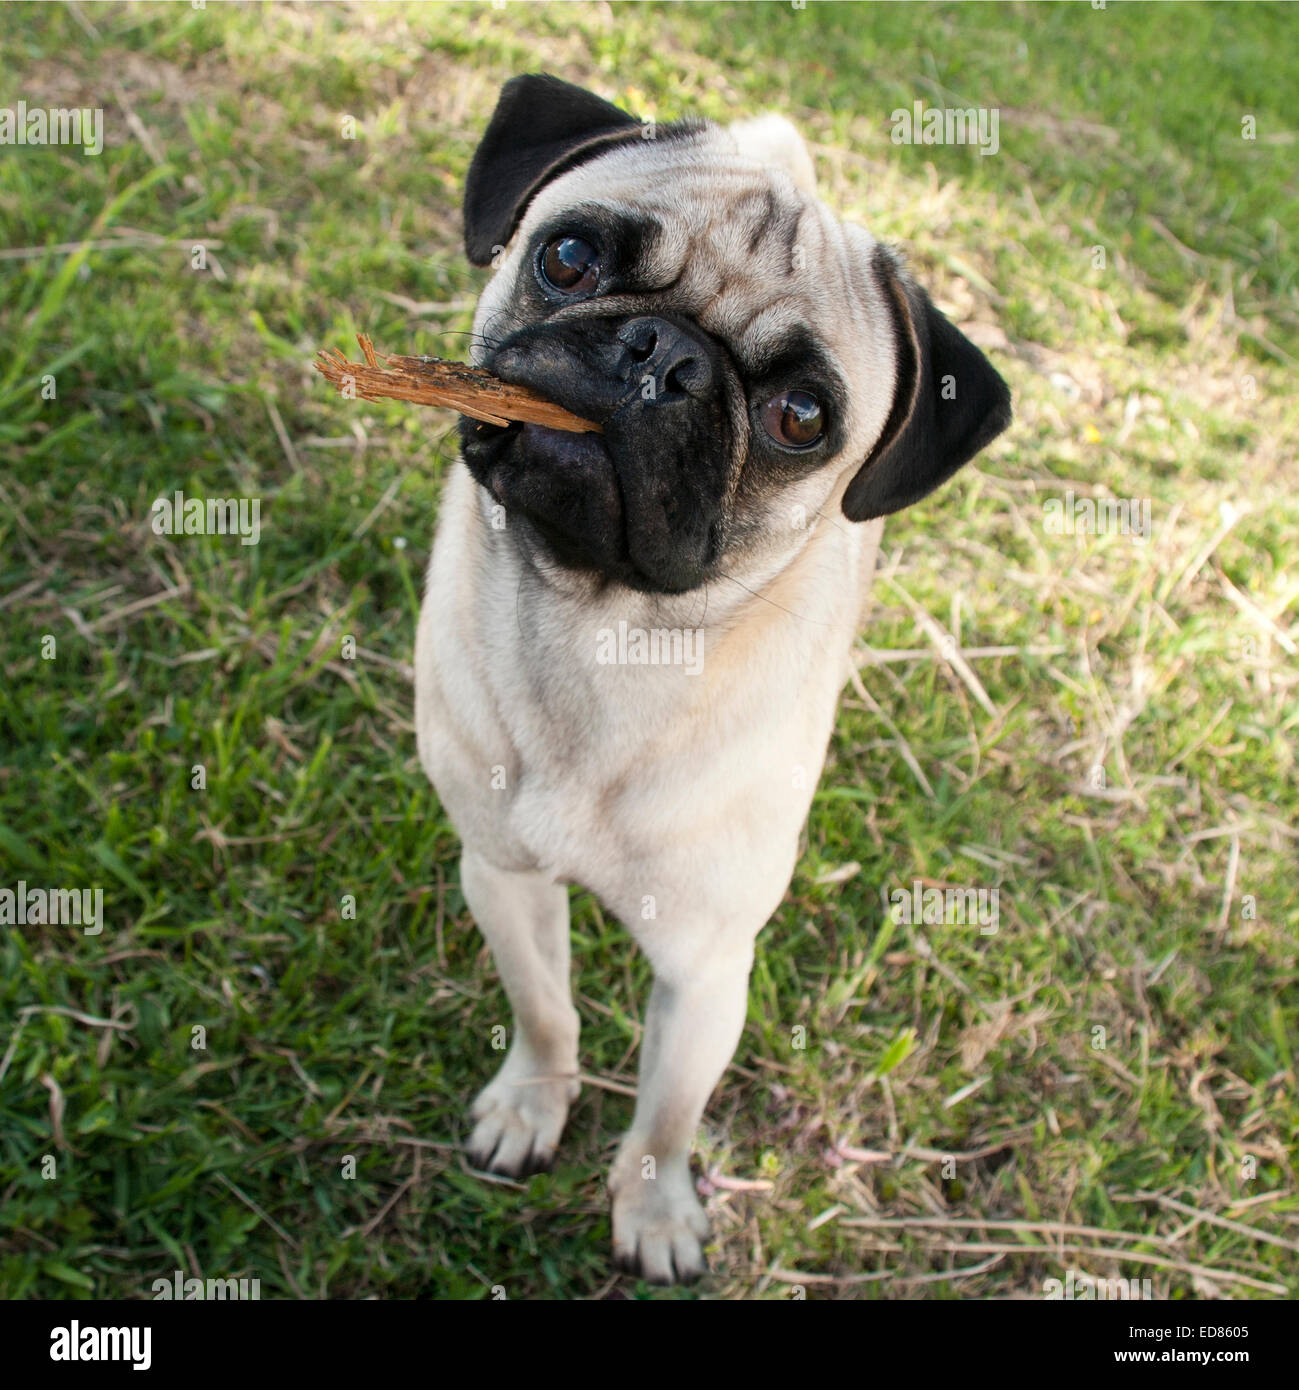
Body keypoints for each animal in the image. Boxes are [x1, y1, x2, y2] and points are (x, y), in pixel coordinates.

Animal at [414, 67, 1005, 1278]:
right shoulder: (501, 875)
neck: (600, 628)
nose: (662, 352)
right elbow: (545, 1013)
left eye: (800, 417)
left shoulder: (705, 967)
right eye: (568, 257)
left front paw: (655, 1213)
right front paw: (532, 1104)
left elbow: (665, 1116)